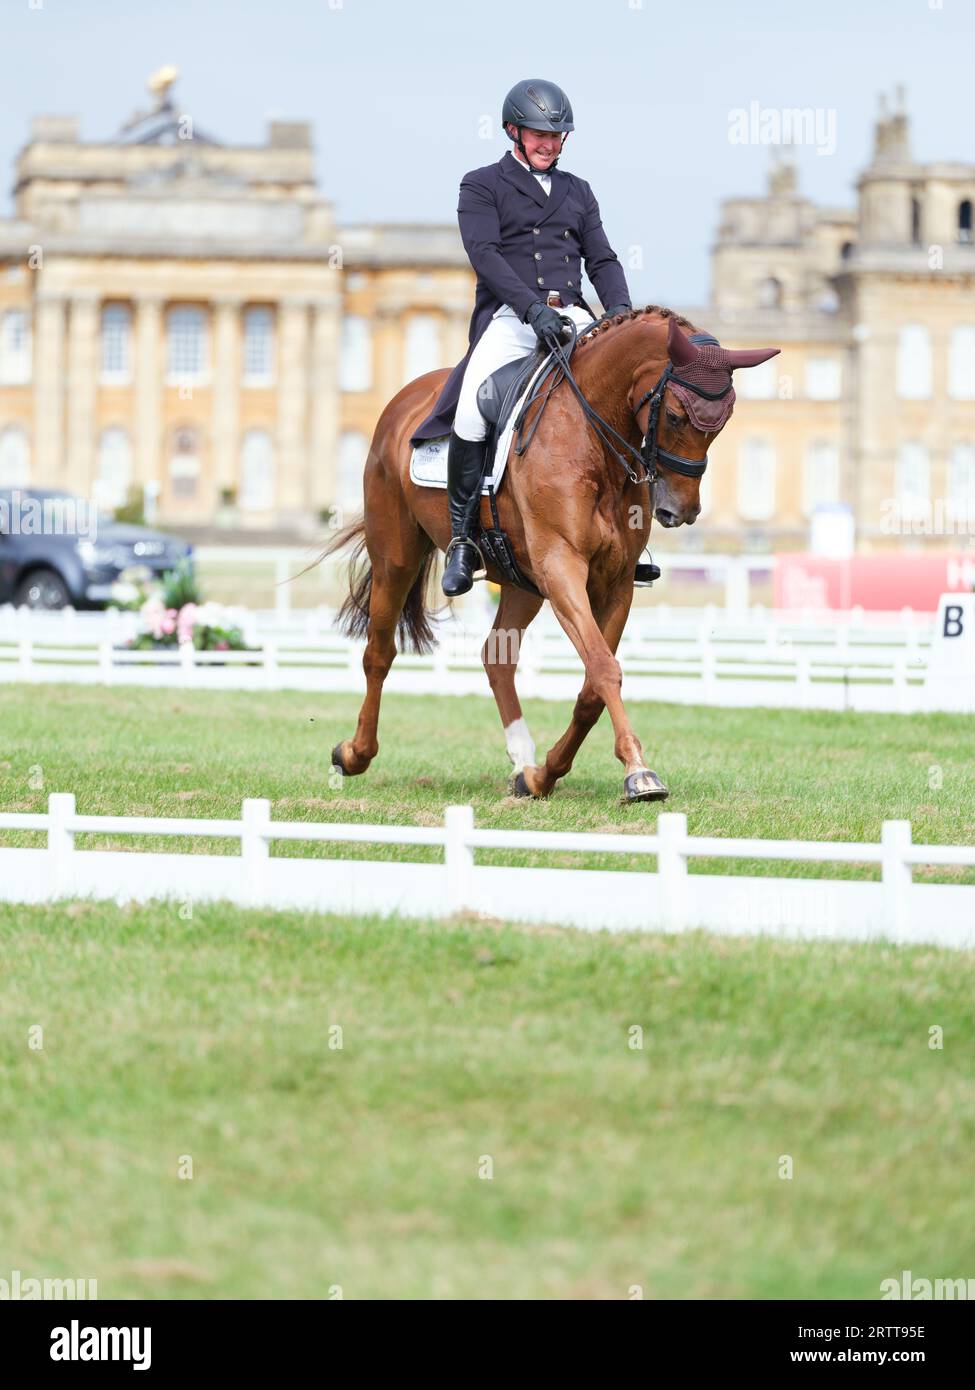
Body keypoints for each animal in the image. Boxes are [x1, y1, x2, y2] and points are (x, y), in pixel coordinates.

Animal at [325, 304, 773, 806]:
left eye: (725, 420)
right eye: (676, 415)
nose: (682, 511)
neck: (592, 439)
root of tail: (406, 398)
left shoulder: (614, 581)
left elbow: (594, 683)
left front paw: (547, 774)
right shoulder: (562, 566)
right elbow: (603, 667)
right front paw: (639, 772)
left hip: (521, 580)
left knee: (497, 656)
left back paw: (523, 761)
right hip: (396, 557)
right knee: (379, 652)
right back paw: (354, 753)